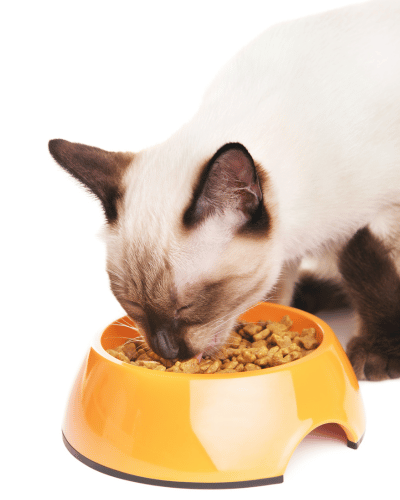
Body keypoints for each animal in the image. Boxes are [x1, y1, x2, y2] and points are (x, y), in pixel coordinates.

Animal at [49, 0, 400, 380]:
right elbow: (277, 289)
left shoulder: (386, 215)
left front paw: (377, 353)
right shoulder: (286, 254)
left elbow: (369, 269)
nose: (167, 351)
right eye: (132, 306)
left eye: (187, 308)